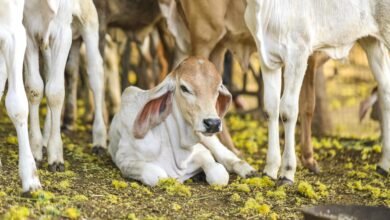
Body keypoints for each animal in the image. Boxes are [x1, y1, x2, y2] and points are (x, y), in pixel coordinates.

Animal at [23, 0, 106, 172]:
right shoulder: (28, 31)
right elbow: (35, 88)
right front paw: (35, 152)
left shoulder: (63, 33)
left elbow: (55, 92)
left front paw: (56, 158)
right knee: (49, 74)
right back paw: (45, 140)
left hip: (89, 19)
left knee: (95, 74)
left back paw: (99, 141)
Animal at [109, 57, 256, 186]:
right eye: (184, 88)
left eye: (218, 87)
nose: (213, 123)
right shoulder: (124, 160)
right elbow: (156, 174)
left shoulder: (201, 151)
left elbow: (219, 173)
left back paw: (248, 170)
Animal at [244, 0, 390, 182]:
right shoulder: (268, 59)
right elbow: (271, 108)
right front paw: (269, 169)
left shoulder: (298, 53)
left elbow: (288, 110)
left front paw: (287, 172)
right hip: (372, 42)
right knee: (385, 91)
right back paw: (384, 164)